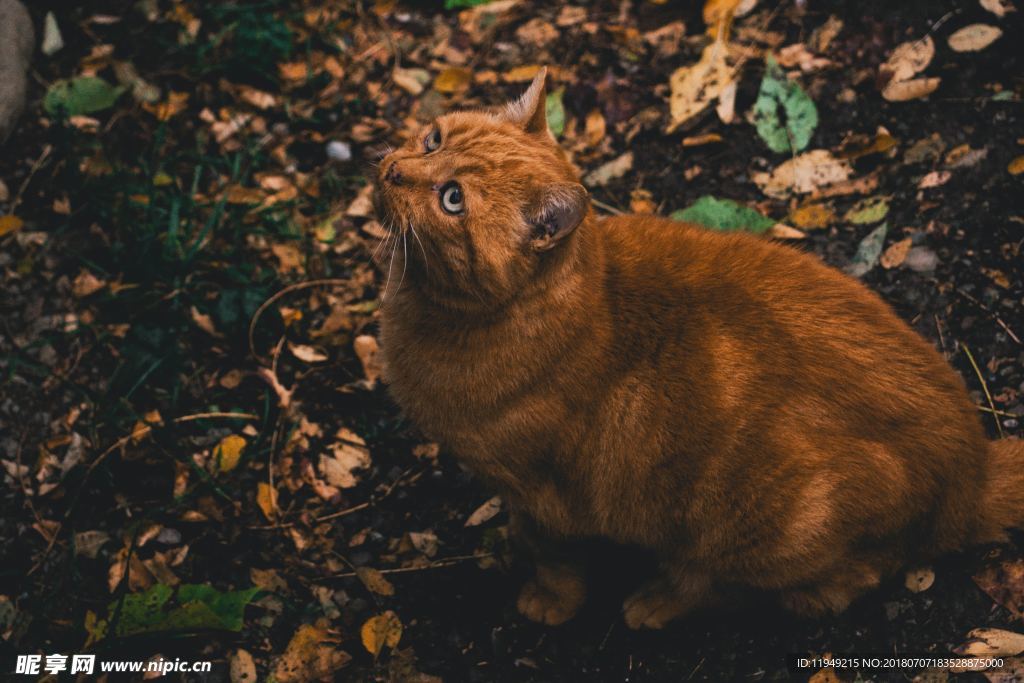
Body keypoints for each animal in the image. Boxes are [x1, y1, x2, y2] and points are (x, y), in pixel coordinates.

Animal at [374, 70, 1024, 630]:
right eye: (432, 139)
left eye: (452, 199)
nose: (394, 171)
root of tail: (972, 467)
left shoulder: (542, 497)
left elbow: (552, 559)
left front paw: (546, 600)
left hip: (752, 524)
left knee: (774, 585)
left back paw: (660, 602)